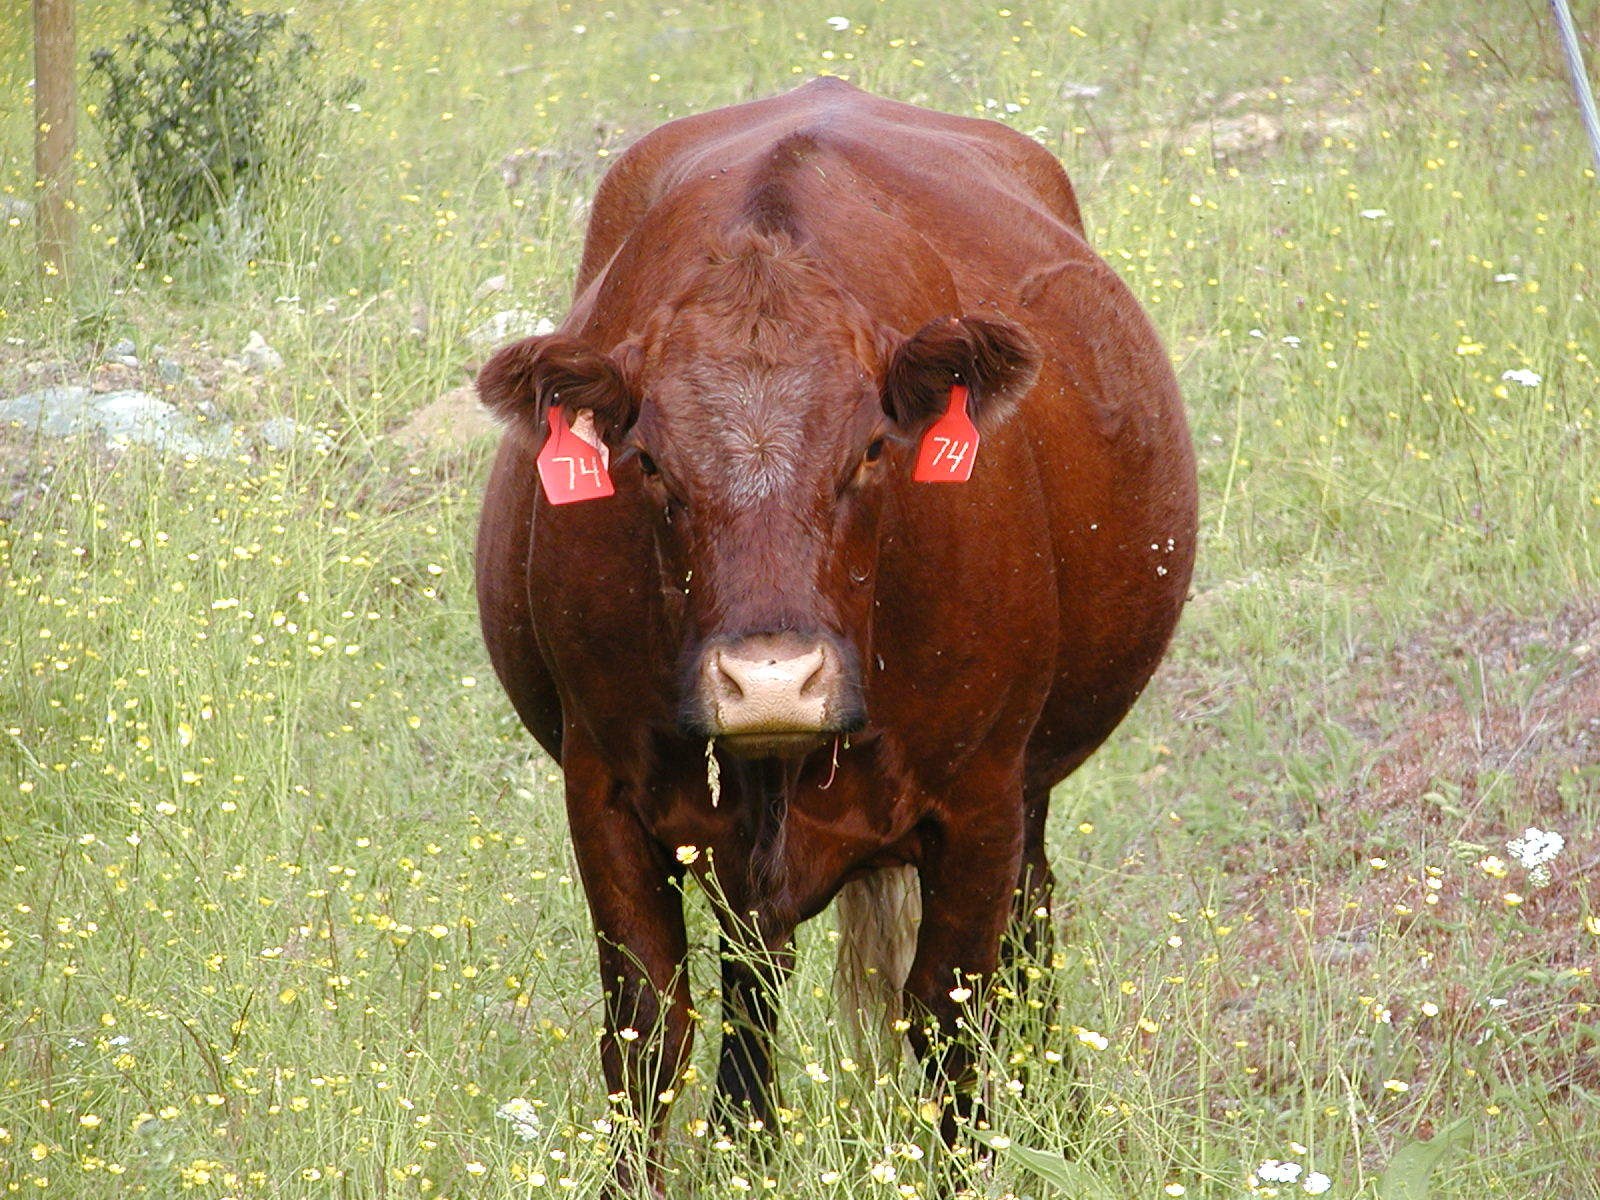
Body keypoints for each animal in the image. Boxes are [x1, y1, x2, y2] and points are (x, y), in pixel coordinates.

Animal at [475, 77, 1196, 1191]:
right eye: (650, 462)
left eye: (869, 448)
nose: (771, 682)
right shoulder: (602, 788)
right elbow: (645, 1028)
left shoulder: (979, 797)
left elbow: (949, 1021)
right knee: (754, 979)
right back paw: (749, 1145)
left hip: (1028, 786)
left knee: (1027, 943)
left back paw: (1063, 1128)